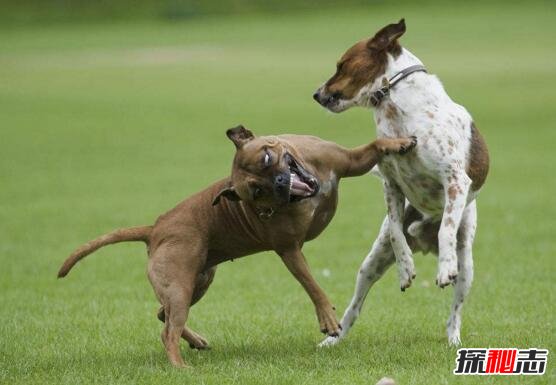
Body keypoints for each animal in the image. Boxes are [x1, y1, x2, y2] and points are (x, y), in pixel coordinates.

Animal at [57, 126, 412, 366]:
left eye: (268, 157)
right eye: (256, 192)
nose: (279, 182)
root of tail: (156, 228)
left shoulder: (351, 161)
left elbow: (374, 146)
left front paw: (399, 142)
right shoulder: (290, 251)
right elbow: (312, 285)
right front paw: (327, 318)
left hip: (197, 282)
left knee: (163, 316)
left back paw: (196, 342)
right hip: (181, 286)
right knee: (167, 330)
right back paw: (180, 367)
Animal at [314, 18, 488, 344]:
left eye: (342, 65)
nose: (316, 94)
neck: (396, 109)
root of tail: (425, 242)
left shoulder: (456, 180)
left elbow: (447, 228)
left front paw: (444, 269)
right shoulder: (391, 185)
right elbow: (396, 231)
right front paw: (405, 268)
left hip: (467, 265)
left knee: (454, 311)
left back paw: (453, 337)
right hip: (371, 263)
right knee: (354, 307)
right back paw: (333, 339)